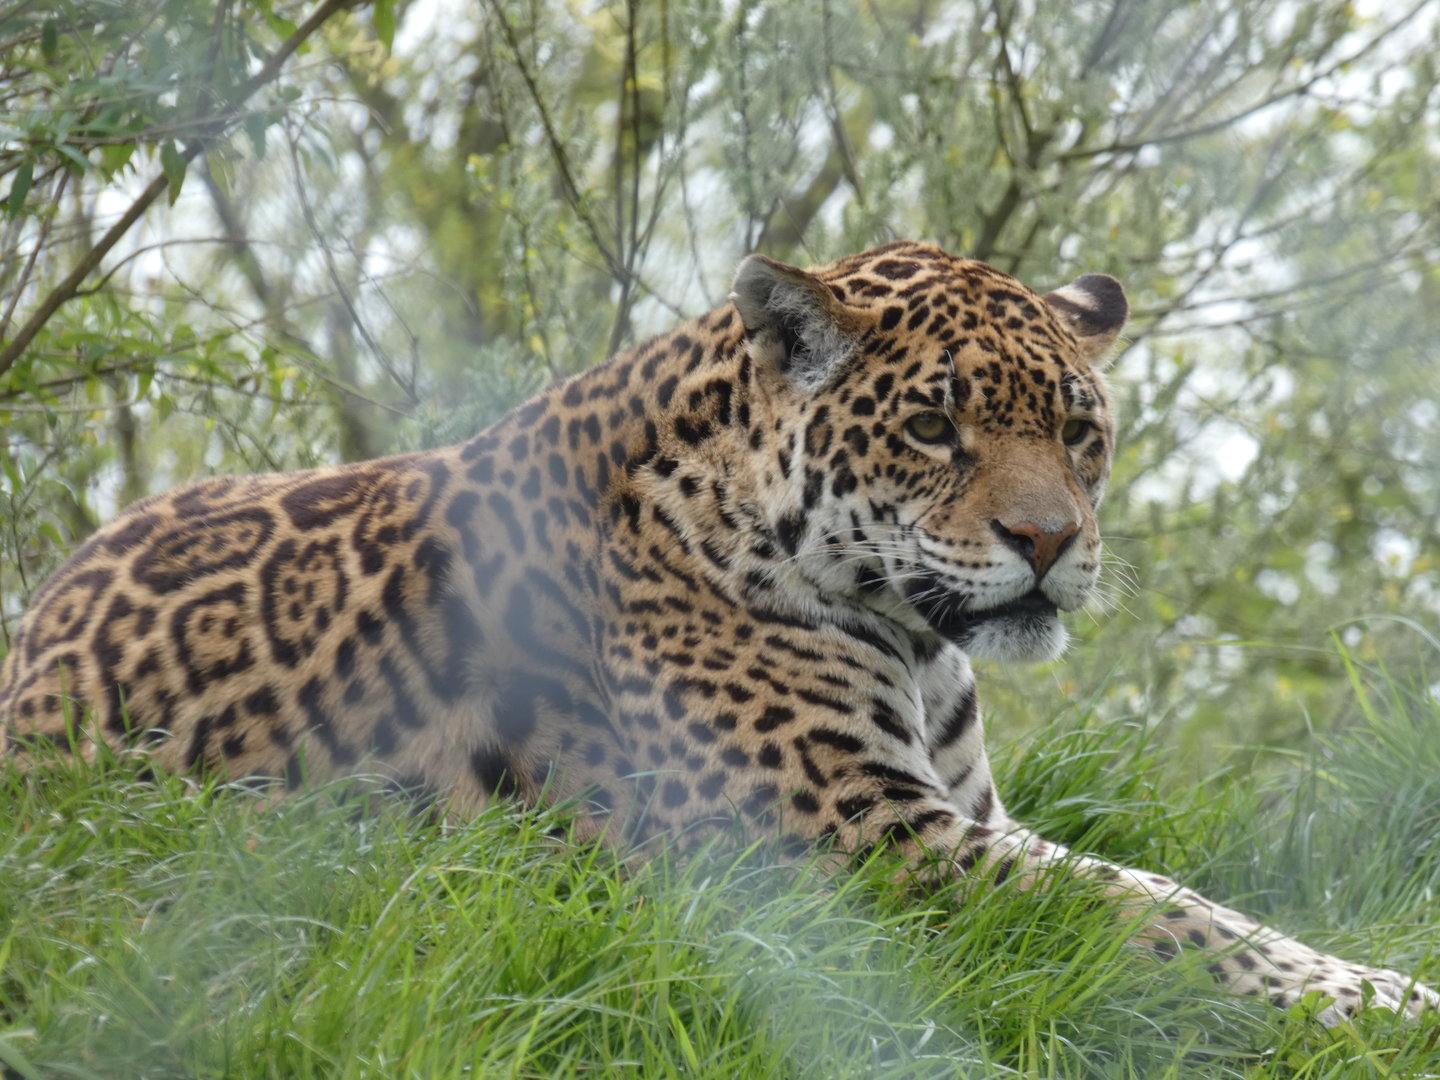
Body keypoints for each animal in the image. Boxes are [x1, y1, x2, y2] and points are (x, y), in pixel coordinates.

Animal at [1, 240, 1434, 1025]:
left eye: (1081, 431)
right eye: (933, 427)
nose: (1049, 543)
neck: (917, 644)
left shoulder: (968, 821)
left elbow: (1181, 898)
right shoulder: (872, 854)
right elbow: (1165, 915)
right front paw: (1390, 1009)